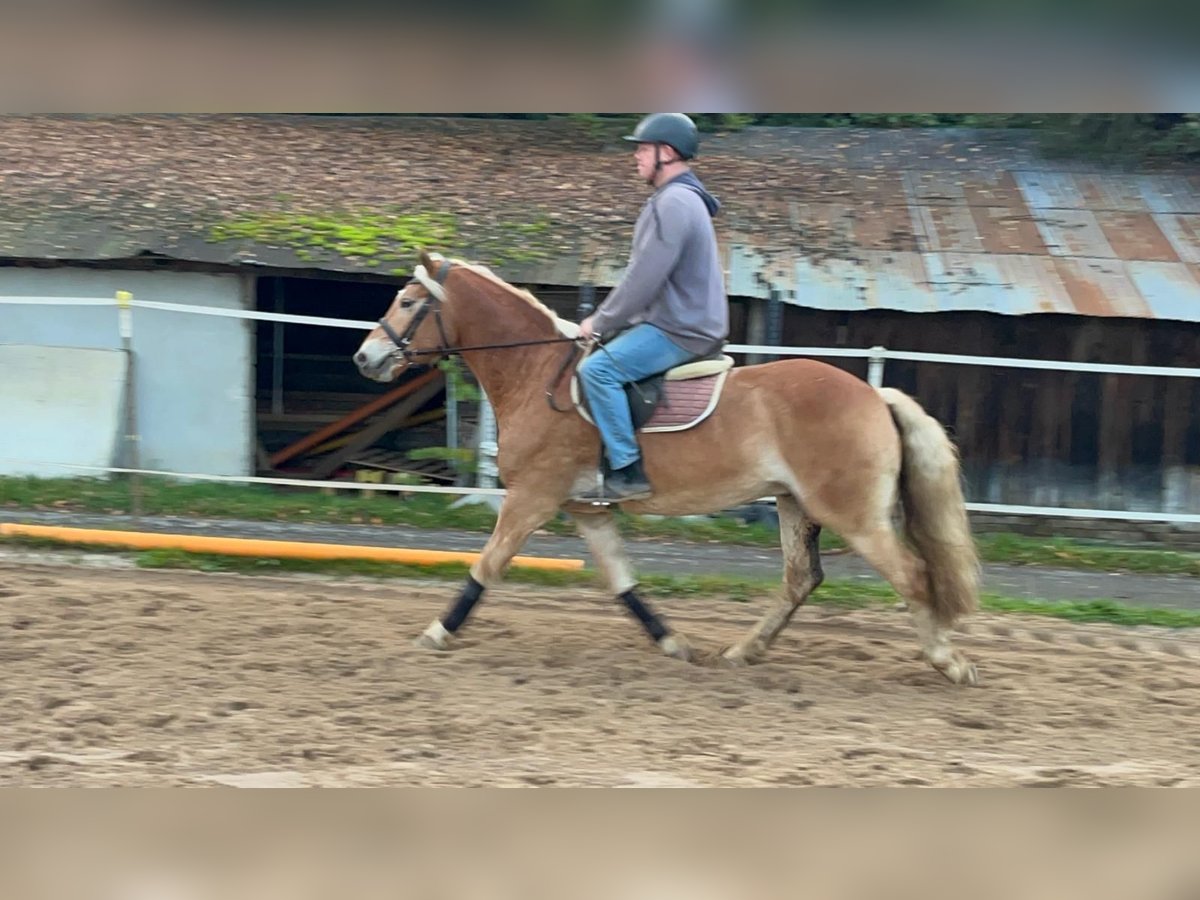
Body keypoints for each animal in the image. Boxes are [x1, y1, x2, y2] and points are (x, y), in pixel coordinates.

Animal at [350, 250, 979, 686]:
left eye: (409, 302)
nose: (365, 356)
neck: (537, 374)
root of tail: (874, 395)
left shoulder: (532, 498)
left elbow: (487, 566)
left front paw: (436, 632)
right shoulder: (586, 509)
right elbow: (622, 583)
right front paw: (674, 644)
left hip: (852, 513)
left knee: (912, 575)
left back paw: (948, 662)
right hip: (795, 504)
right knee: (802, 579)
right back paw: (744, 652)